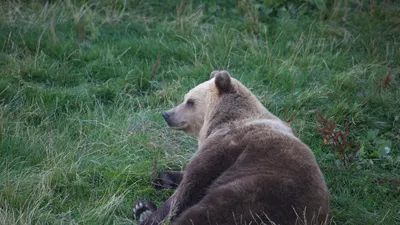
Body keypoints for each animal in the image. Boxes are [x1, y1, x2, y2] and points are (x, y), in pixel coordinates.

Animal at [133, 71, 330, 225]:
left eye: (190, 101)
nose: (166, 114)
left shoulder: (227, 145)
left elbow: (193, 183)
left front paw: (150, 213)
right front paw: (156, 186)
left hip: (260, 192)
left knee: (209, 211)